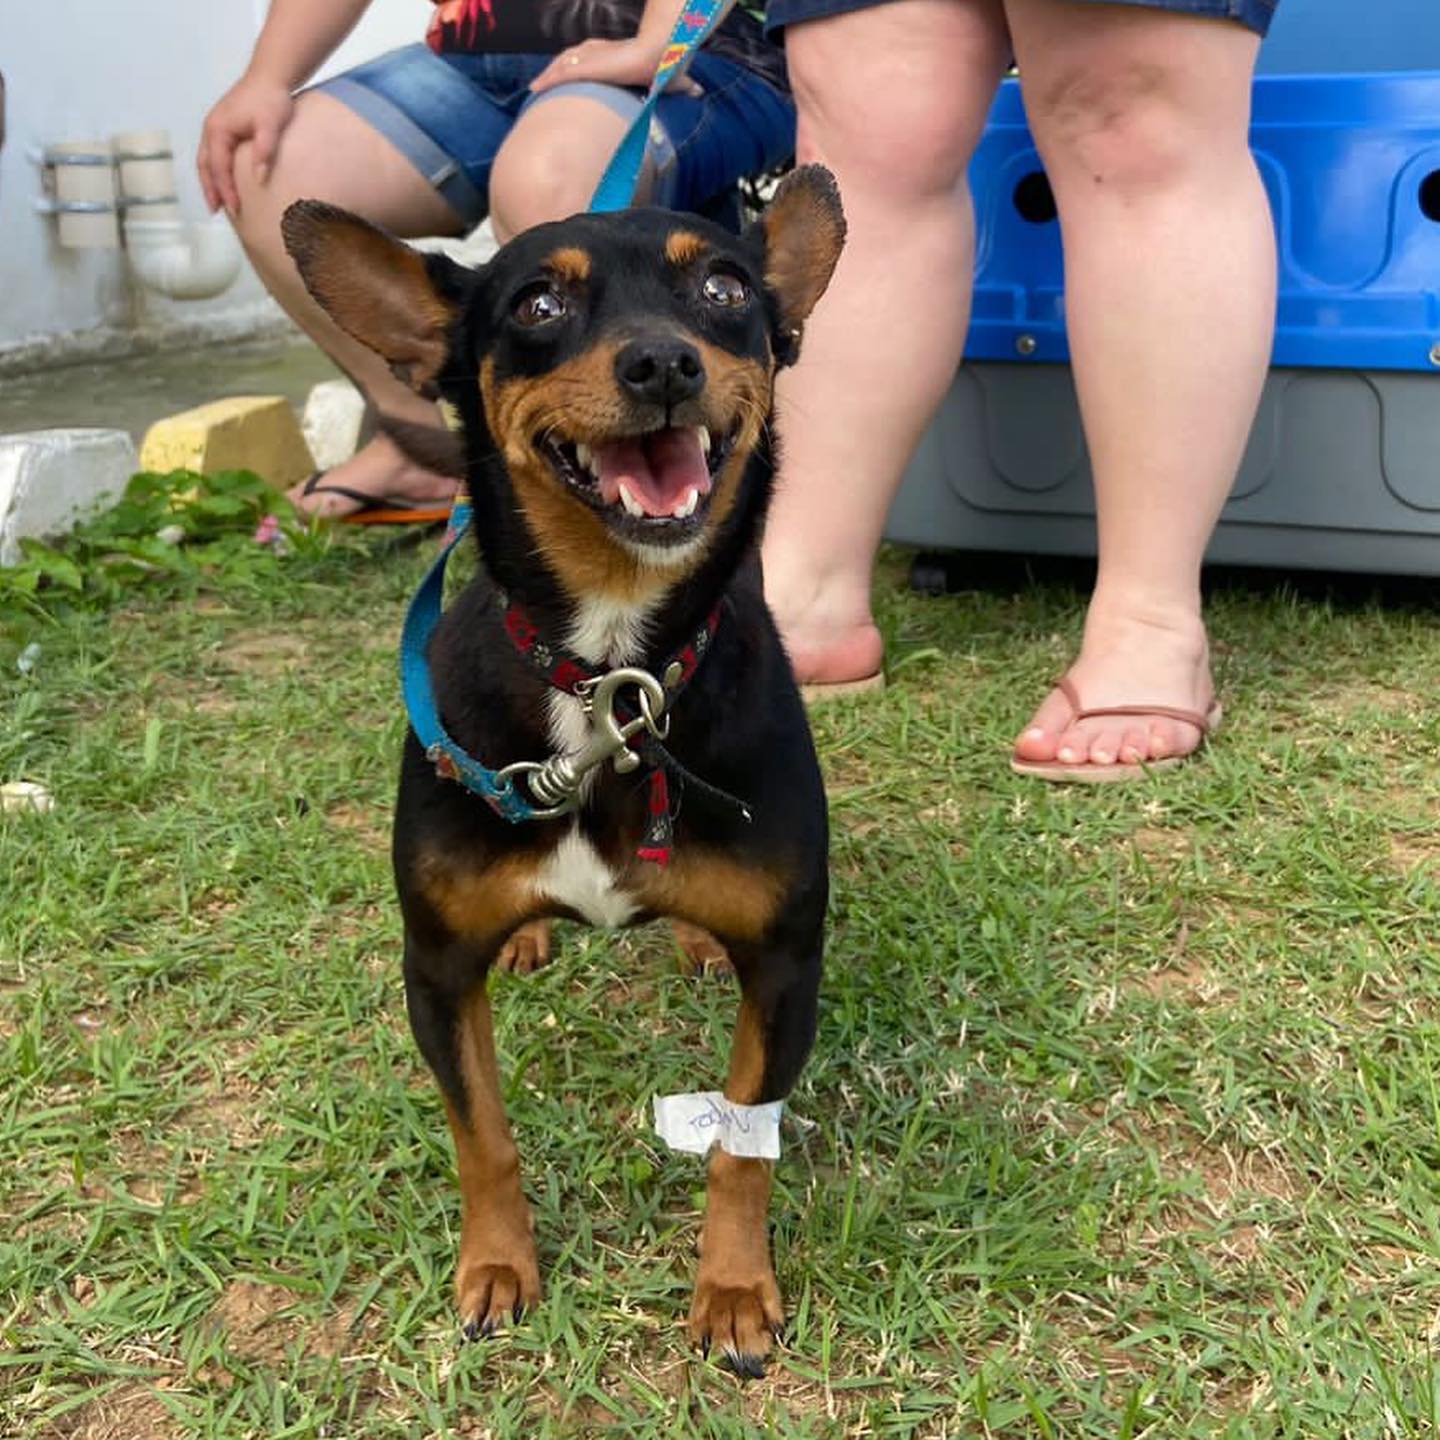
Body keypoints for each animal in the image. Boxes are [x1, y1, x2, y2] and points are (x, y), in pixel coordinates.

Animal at [280, 166, 845, 1377]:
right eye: (538, 304)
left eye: (725, 287)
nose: (664, 362)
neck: (609, 670)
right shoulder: (436, 970)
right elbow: (481, 1134)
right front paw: (496, 1269)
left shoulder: (787, 967)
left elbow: (740, 1145)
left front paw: (734, 1291)